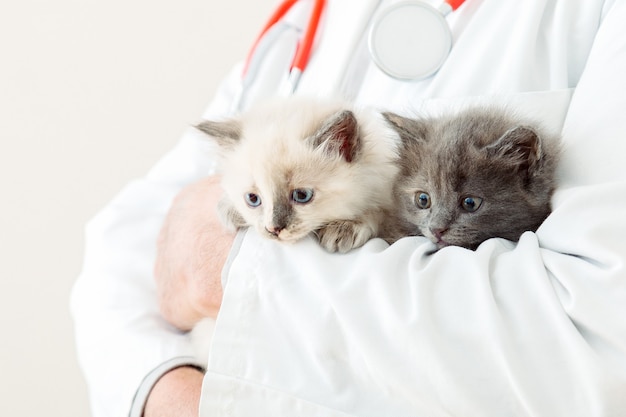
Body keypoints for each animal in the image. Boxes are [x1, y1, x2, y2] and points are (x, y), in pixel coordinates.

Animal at [196, 97, 400, 252]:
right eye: (253, 199)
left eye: (302, 196)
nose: (273, 229)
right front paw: (230, 210)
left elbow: (380, 213)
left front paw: (346, 226)